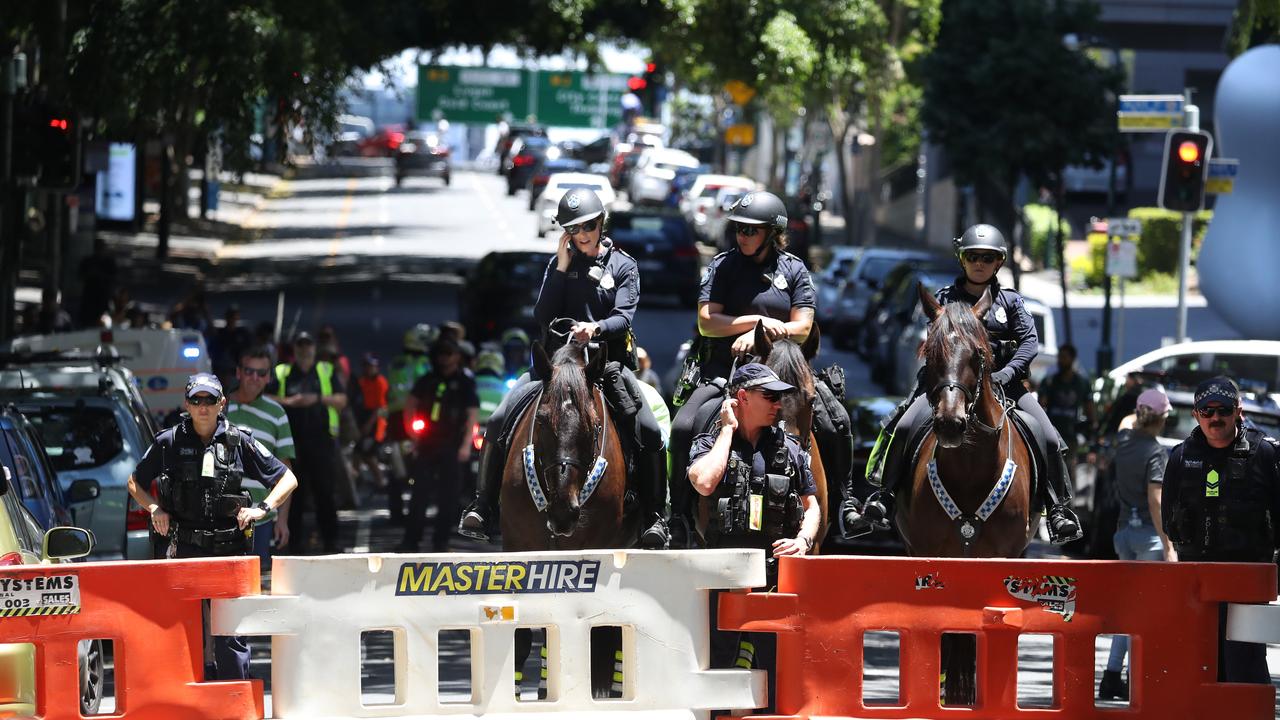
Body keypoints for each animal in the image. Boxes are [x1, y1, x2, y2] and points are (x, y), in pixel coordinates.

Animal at [901, 284, 1039, 702]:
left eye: (978, 353)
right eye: (930, 351)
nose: (950, 423)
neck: (971, 468)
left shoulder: (1001, 556)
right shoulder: (931, 554)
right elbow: (949, 628)